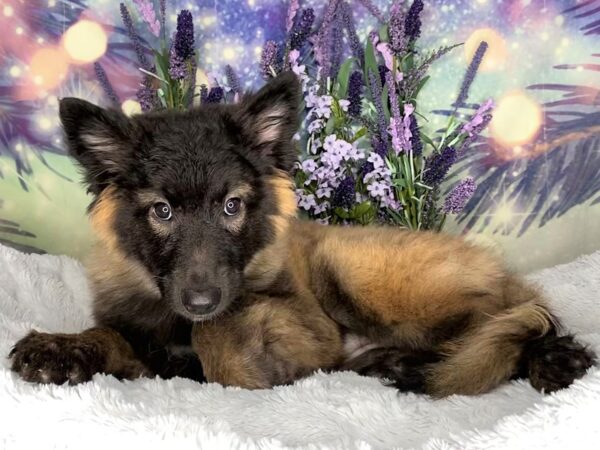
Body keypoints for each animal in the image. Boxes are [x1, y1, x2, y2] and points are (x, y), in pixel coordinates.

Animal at [10, 72, 596, 396]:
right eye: (162, 211)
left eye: (232, 206)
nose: (200, 300)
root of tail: (505, 273)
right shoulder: (137, 330)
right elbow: (112, 337)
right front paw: (59, 350)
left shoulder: (306, 323)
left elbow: (215, 336)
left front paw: (248, 369)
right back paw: (398, 365)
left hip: (356, 270)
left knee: (503, 323)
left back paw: (554, 358)